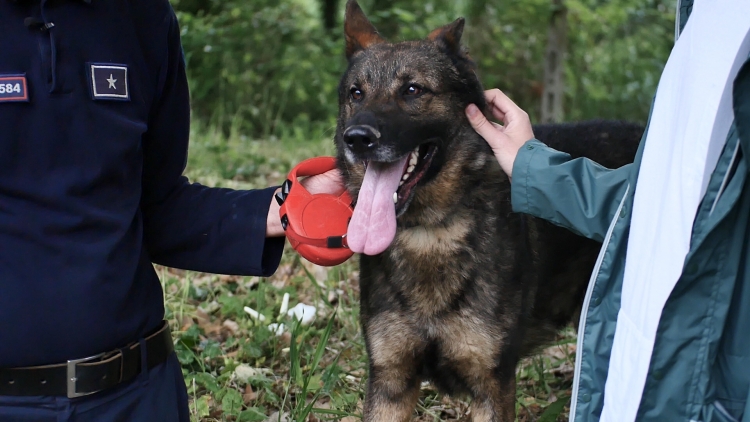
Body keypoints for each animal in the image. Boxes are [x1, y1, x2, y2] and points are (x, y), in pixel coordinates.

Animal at [338, 2, 644, 418]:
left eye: (413, 90)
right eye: (356, 93)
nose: (357, 138)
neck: (431, 231)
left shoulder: (492, 386)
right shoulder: (390, 382)